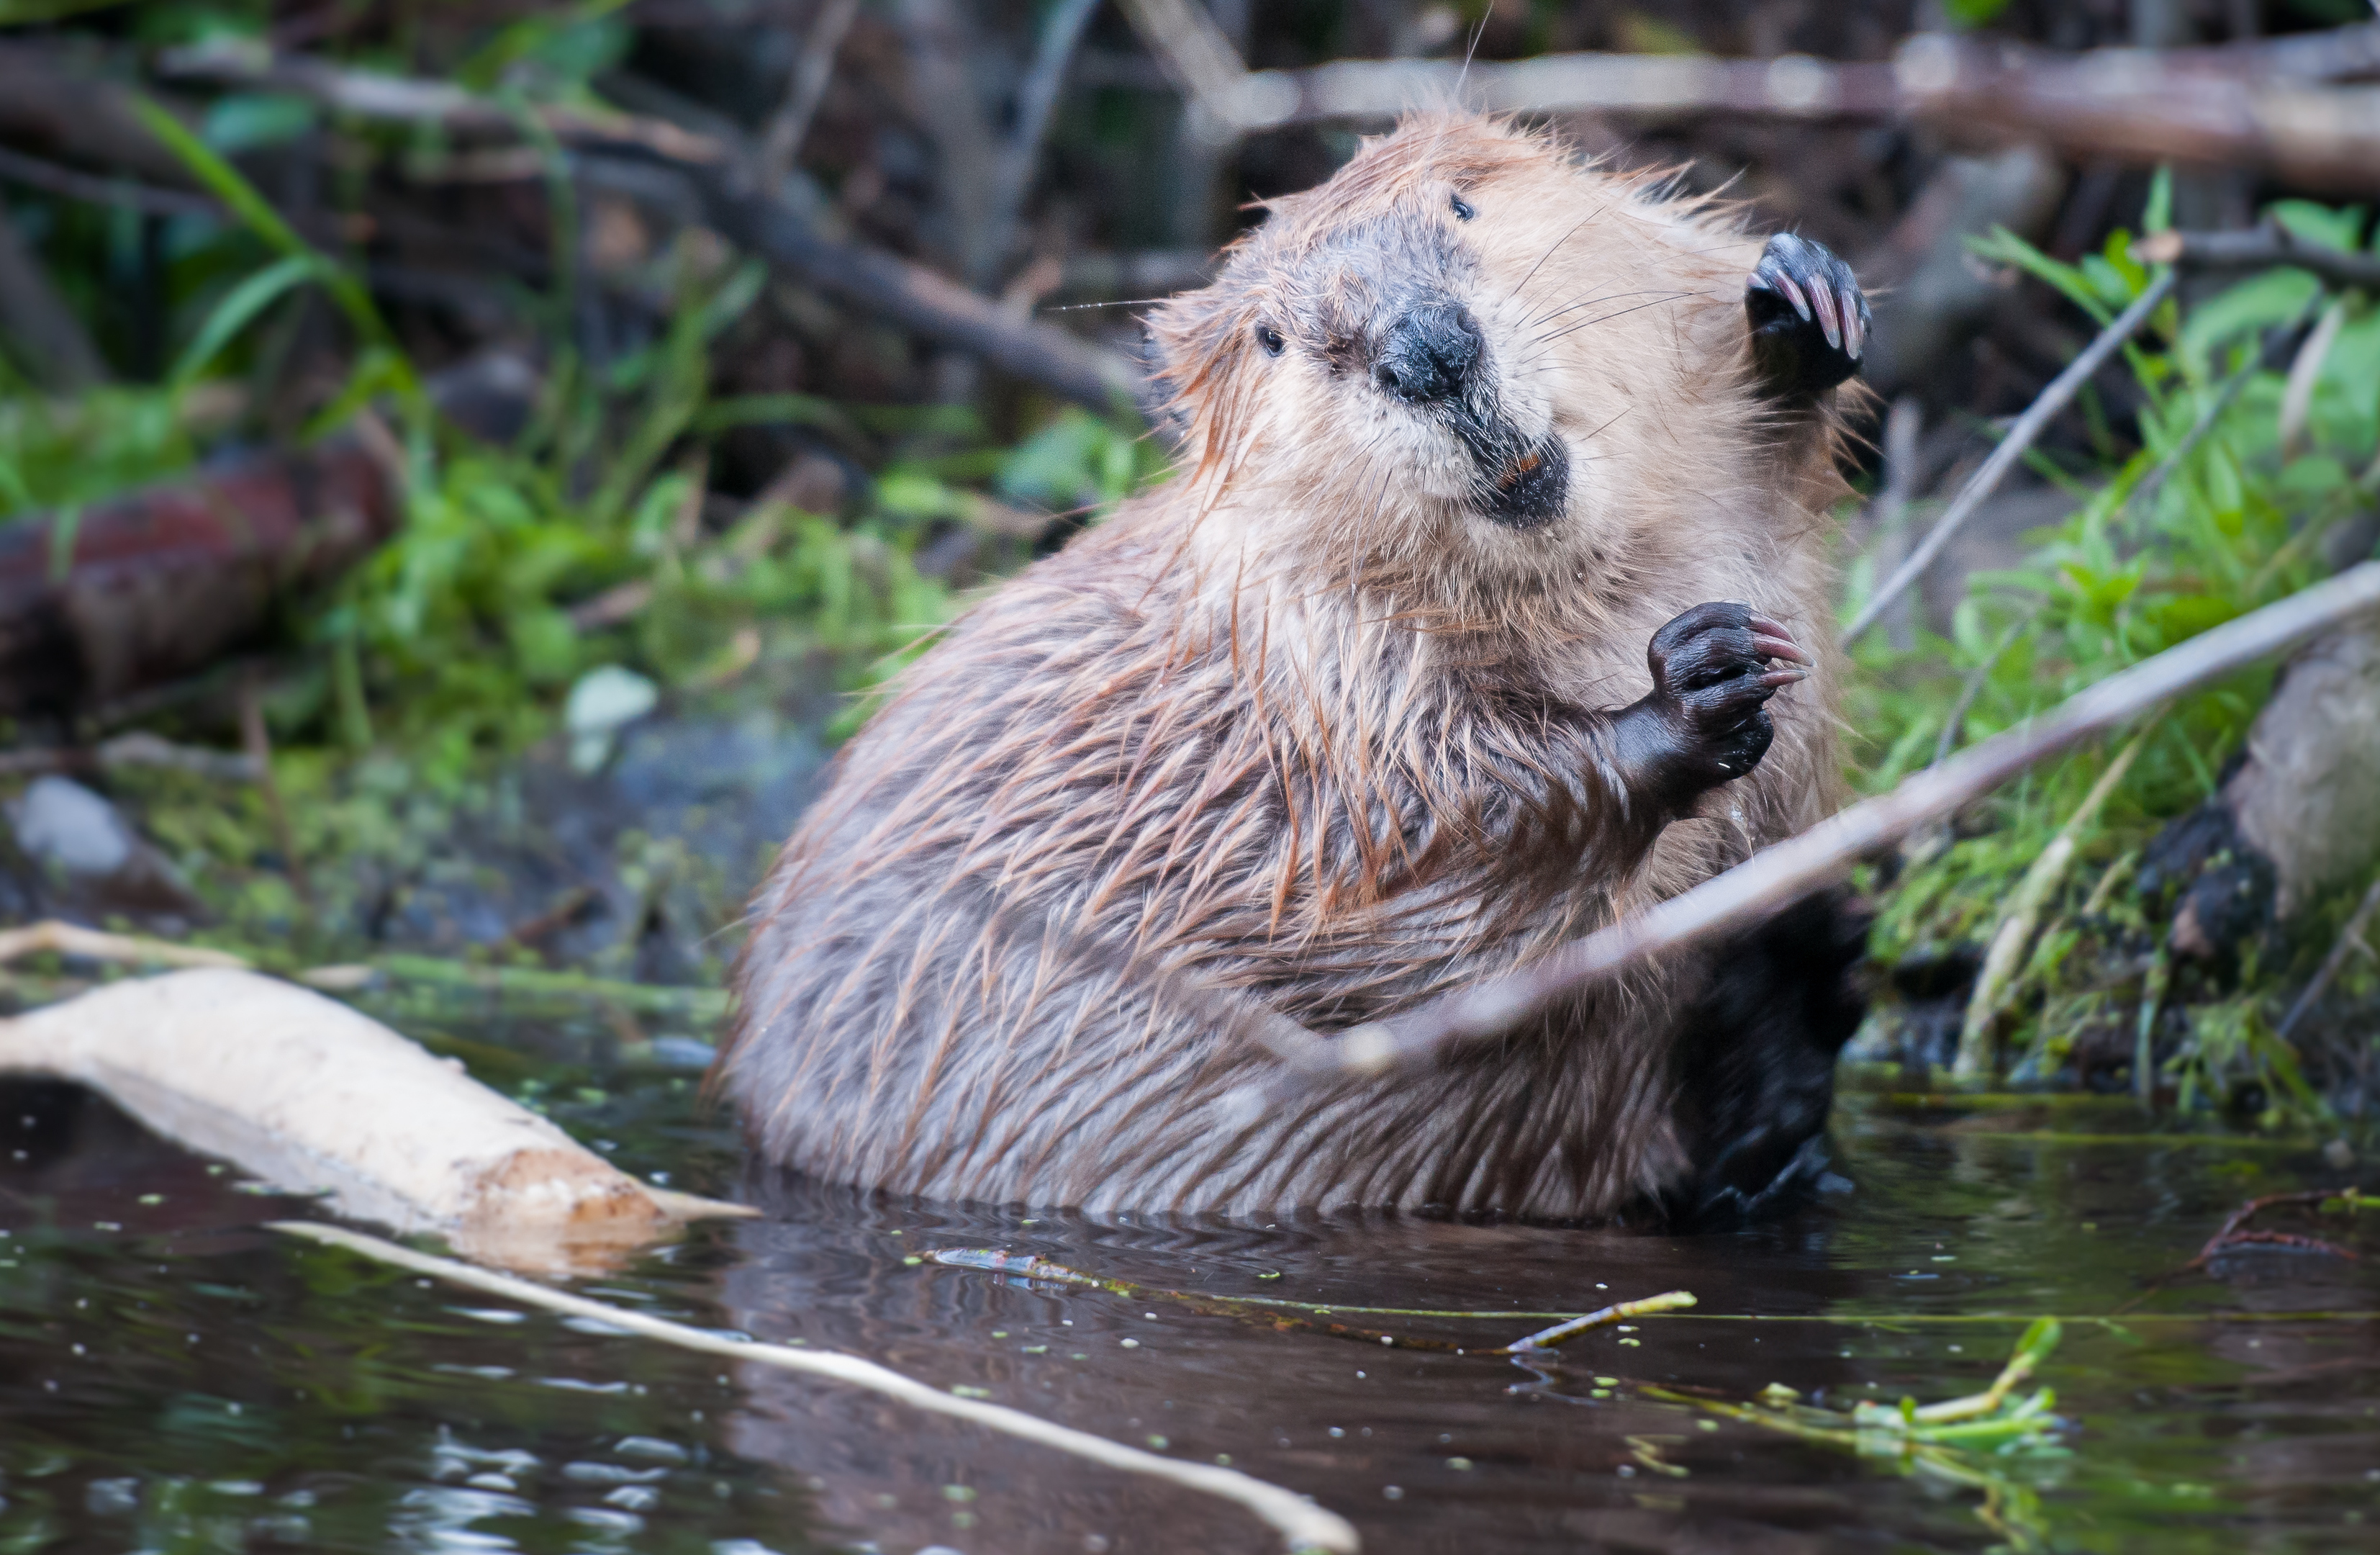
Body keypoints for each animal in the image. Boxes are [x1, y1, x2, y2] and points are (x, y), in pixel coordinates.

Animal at [714, 115, 1865, 1219]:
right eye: (1272, 337)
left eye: (1461, 203)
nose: (1427, 351)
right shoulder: (1309, 683)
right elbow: (1418, 886)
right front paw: (1695, 684)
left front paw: (1800, 303)